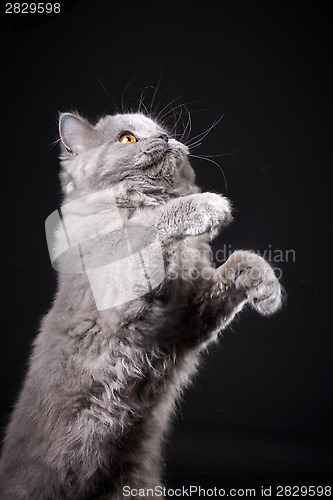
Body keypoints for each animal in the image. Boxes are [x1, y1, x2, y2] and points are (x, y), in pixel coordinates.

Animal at [0, 111, 280, 498]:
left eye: (163, 131)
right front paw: (207, 207)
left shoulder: (187, 320)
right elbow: (148, 232)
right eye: (128, 138)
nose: (164, 137)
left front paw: (268, 290)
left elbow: (242, 258)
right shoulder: (123, 297)